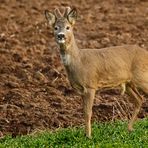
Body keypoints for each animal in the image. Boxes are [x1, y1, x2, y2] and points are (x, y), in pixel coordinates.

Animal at [44, 6, 147, 138]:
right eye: (55, 27)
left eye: (68, 27)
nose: (61, 36)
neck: (79, 61)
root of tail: (146, 53)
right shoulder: (81, 90)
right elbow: (83, 111)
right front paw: (85, 134)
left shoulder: (90, 85)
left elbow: (88, 112)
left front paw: (88, 136)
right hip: (129, 83)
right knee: (139, 100)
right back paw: (129, 129)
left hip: (142, 77)